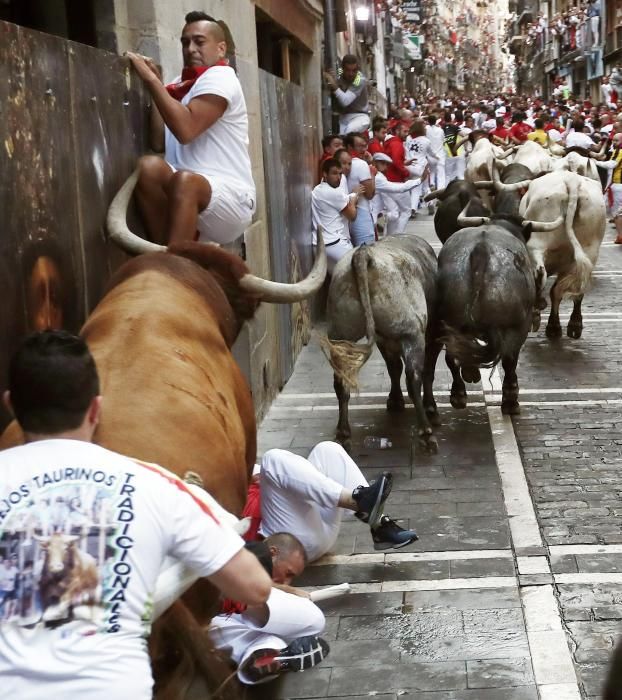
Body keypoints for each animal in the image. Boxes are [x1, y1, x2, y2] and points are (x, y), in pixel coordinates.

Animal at [324, 235, 442, 454]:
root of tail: (363, 255)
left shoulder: (384, 339)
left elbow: (393, 367)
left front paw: (395, 400)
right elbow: (425, 370)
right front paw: (430, 407)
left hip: (340, 335)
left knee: (341, 381)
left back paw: (343, 433)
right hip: (412, 333)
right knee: (414, 378)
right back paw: (426, 433)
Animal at [520, 171, 608, 338]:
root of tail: (572, 181)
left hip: (536, 242)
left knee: (540, 274)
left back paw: (536, 314)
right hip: (590, 250)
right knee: (576, 287)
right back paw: (572, 325)